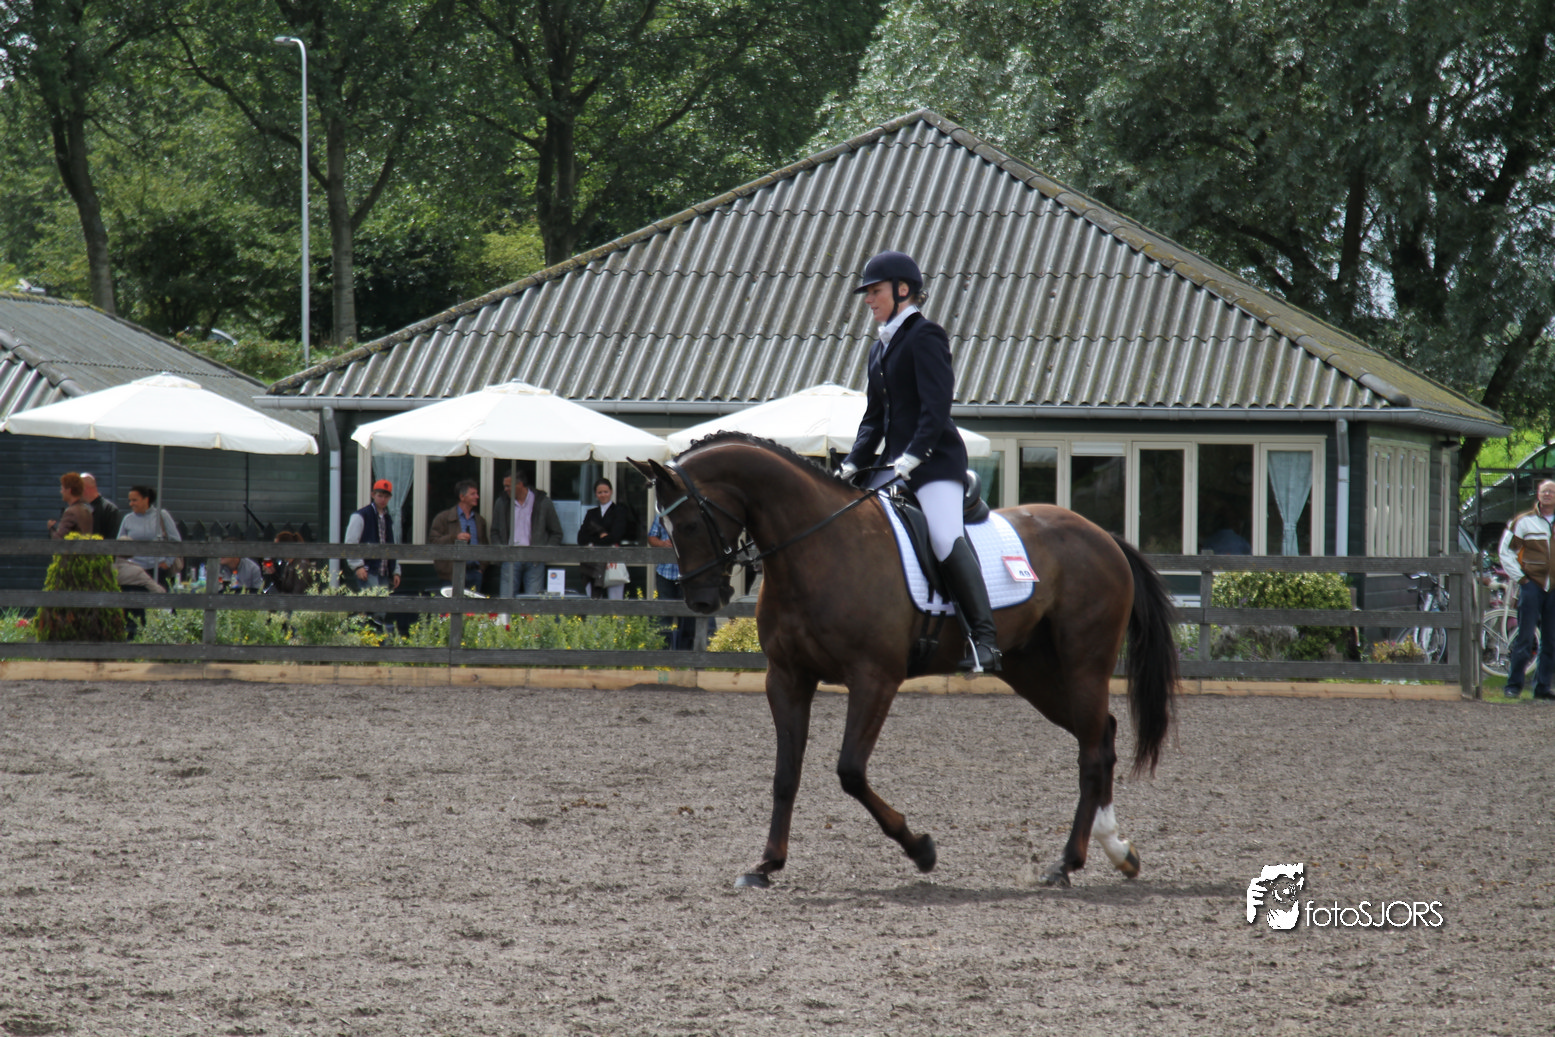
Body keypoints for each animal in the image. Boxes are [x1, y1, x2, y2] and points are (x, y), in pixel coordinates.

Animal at [631, 432, 1179, 888]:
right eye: (666, 526)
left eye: (686, 522)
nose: (702, 600)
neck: (817, 546)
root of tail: (1103, 536)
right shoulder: (787, 678)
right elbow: (786, 774)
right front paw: (766, 864)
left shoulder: (875, 678)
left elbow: (851, 771)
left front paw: (921, 850)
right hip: (1034, 672)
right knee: (1101, 735)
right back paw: (1118, 851)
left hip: (1084, 664)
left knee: (1092, 752)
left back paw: (1066, 863)